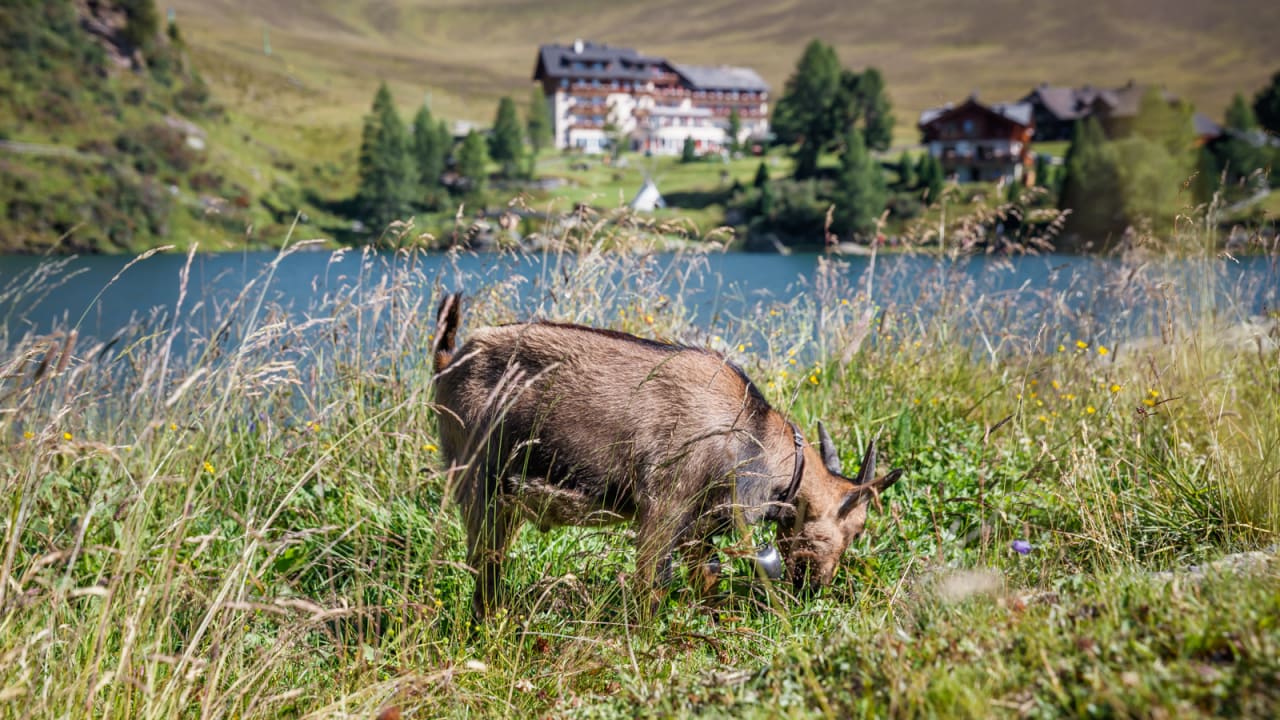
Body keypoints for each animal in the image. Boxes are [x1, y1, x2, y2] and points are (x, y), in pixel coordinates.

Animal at [430, 294, 901, 614]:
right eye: (857, 527)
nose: (816, 586)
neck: (752, 430)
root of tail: (448, 362)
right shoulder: (665, 505)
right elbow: (652, 583)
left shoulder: (698, 522)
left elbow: (706, 575)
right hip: (477, 483)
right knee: (484, 563)